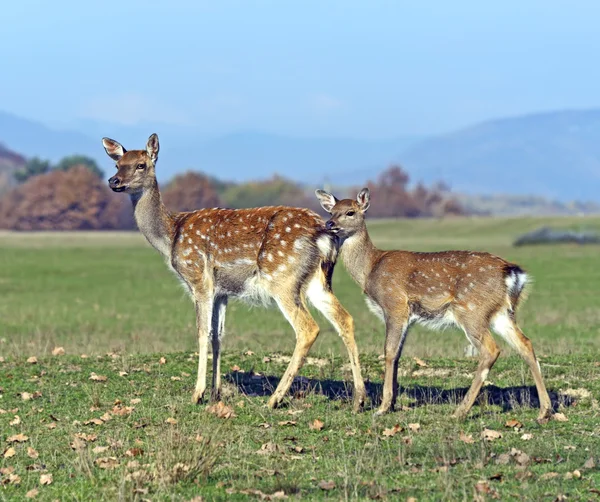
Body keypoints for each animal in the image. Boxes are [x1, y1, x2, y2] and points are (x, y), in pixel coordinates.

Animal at [101, 134, 368, 412]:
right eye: (117, 164)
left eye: (141, 165)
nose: (114, 181)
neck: (171, 236)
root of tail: (323, 234)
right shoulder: (222, 292)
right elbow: (218, 336)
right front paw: (215, 393)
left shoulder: (199, 279)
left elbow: (202, 333)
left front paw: (197, 393)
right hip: (318, 280)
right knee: (345, 318)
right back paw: (359, 399)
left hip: (282, 277)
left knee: (308, 328)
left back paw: (274, 398)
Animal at [314, 186, 552, 422]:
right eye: (331, 211)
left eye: (350, 212)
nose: (330, 224)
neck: (370, 269)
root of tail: (512, 273)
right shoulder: (407, 317)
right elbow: (398, 354)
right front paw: (392, 404)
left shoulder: (394, 304)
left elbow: (389, 352)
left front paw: (382, 407)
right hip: (501, 313)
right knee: (525, 344)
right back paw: (544, 411)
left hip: (472, 310)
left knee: (491, 350)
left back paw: (460, 411)